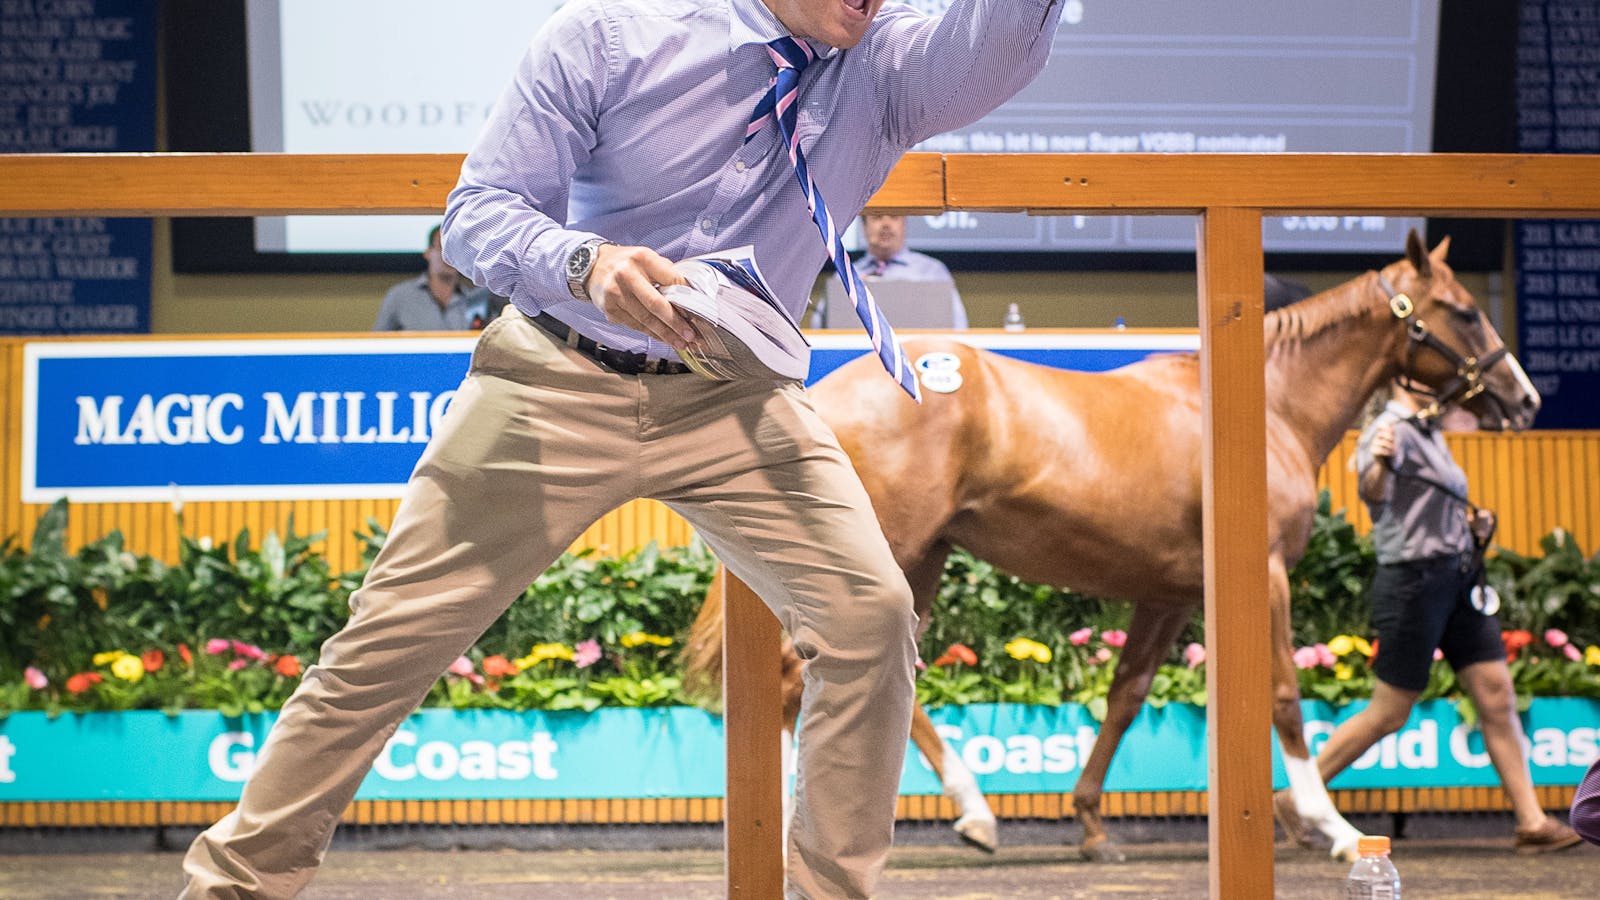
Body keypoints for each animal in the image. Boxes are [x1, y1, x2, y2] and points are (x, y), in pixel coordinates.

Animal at [681, 229, 1529, 851]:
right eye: (1462, 311)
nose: (1522, 398)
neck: (1268, 407)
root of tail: (822, 389)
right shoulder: (1266, 574)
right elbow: (1285, 695)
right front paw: (1336, 828)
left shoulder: (1170, 597)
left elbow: (1125, 697)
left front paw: (1091, 821)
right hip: (888, 552)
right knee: (801, 675)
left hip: (918, 560)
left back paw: (971, 812)